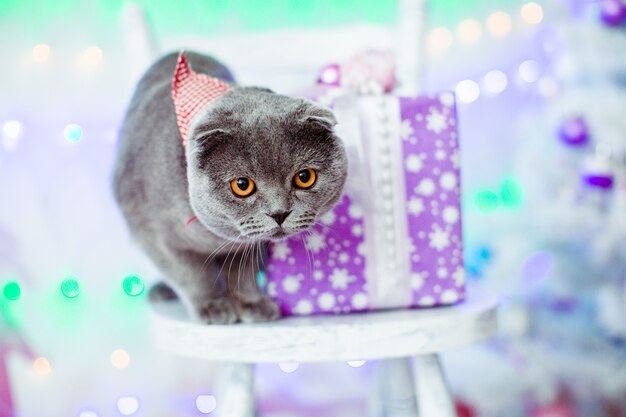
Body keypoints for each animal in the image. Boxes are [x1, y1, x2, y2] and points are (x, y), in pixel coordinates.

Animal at [112, 52, 346, 324]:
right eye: (242, 185)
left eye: (304, 177)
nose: (279, 213)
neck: (215, 238)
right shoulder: (155, 236)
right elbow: (191, 275)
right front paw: (213, 306)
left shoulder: (249, 245)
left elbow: (243, 272)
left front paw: (251, 303)